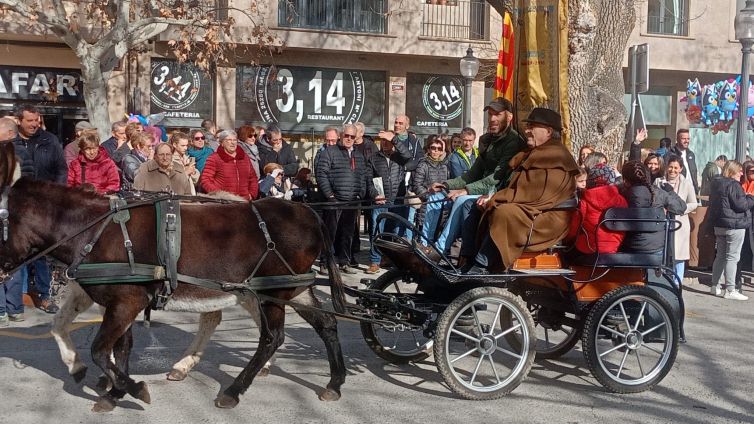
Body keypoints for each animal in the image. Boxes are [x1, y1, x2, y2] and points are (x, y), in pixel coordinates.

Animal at [0, 142, 346, 410]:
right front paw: (113, 390)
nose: (3, 271)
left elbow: (100, 350)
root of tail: (306, 211)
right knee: (326, 324)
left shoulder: (125, 301)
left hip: (267, 293)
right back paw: (335, 382)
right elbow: (115, 347)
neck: (97, 230)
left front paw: (130, 388)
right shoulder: (123, 301)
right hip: (291, 288)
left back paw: (233, 390)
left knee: (271, 337)